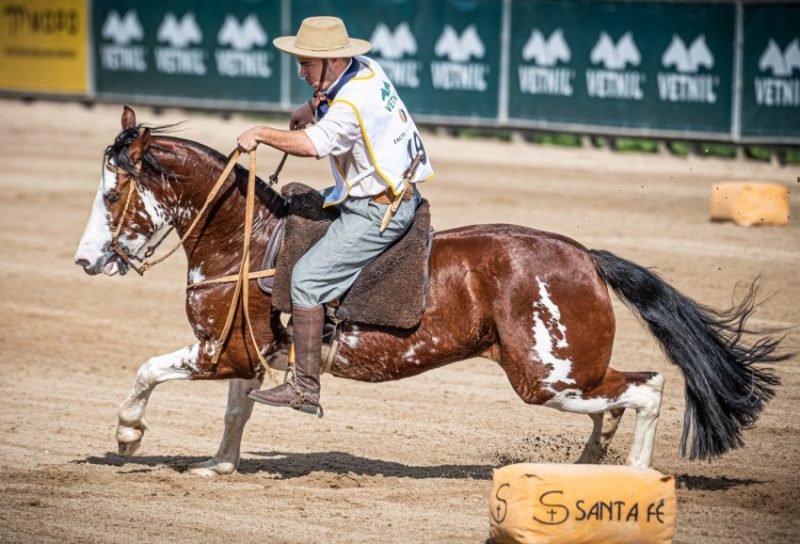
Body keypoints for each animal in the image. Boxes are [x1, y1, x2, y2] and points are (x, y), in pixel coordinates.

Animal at [72, 107, 784, 476]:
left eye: (112, 193)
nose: (86, 260)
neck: (246, 240)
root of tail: (585, 257)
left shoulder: (217, 352)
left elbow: (147, 371)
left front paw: (128, 435)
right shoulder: (248, 356)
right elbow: (235, 412)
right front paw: (218, 465)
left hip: (547, 378)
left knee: (648, 388)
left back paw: (633, 477)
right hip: (569, 375)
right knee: (618, 399)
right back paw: (588, 466)